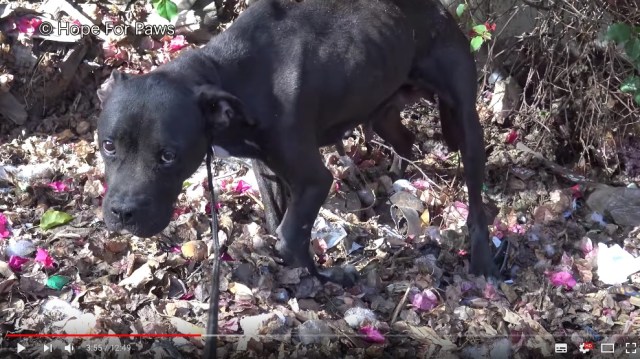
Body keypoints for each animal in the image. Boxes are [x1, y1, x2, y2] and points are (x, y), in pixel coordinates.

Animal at [95, 0, 498, 286]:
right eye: (108, 145)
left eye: (168, 155)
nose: (122, 214)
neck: (227, 74)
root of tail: (439, 9)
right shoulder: (267, 169)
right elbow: (279, 221)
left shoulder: (313, 179)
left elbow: (290, 235)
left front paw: (323, 278)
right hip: (382, 110)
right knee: (406, 139)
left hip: (466, 122)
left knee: (477, 203)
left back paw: (481, 261)